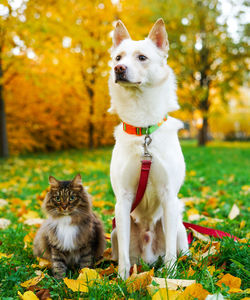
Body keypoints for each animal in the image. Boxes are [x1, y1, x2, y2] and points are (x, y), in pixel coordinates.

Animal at [108, 18, 188, 280]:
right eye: (118, 57)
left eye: (142, 57)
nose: (118, 69)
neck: (143, 130)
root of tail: (149, 256)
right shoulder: (123, 200)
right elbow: (123, 255)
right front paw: (123, 279)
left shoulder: (168, 195)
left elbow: (171, 252)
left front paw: (170, 277)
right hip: (115, 231)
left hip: (179, 227)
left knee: (180, 250)